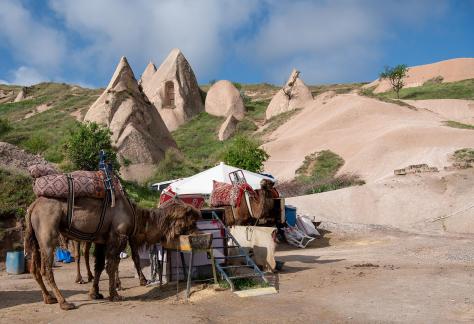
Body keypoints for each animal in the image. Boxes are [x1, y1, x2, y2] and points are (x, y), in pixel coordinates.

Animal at [24, 191, 200, 310]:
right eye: (192, 222)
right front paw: (115, 295)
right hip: (48, 232)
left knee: (34, 268)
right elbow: (112, 266)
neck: (137, 217)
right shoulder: (118, 236)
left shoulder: (102, 240)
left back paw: (48, 298)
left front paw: (95, 293)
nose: (198, 232)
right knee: (46, 269)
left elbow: (100, 266)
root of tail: (32, 207)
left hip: (35, 237)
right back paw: (64, 302)